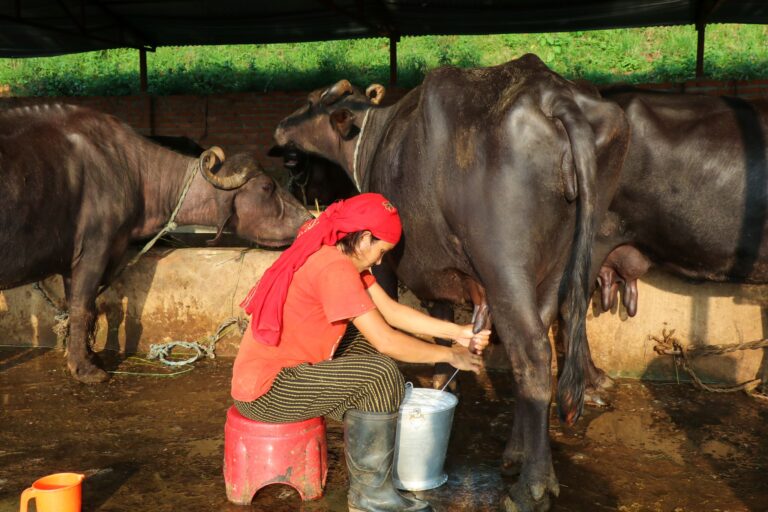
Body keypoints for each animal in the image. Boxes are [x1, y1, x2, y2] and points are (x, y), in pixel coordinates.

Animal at [2, 105, 312, 384]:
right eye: (267, 187)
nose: (307, 217)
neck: (130, 170)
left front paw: (90, 355)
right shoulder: (93, 250)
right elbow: (83, 307)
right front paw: (86, 369)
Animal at [272, 54, 632, 510]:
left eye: (311, 100)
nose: (280, 128)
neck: (375, 138)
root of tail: (552, 93)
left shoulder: (387, 266)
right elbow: (441, 332)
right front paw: (446, 378)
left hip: (504, 263)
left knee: (532, 354)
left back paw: (531, 487)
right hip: (559, 264)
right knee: (545, 333)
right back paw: (515, 454)